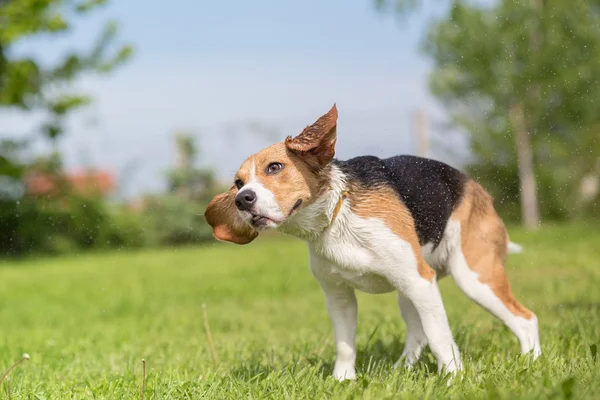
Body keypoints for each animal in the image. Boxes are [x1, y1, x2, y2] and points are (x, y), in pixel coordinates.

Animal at [204, 104, 540, 380]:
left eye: (275, 167)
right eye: (238, 182)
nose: (242, 199)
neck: (337, 217)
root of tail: (476, 188)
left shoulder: (420, 281)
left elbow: (440, 337)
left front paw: (453, 379)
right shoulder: (339, 296)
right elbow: (345, 345)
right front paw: (342, 381)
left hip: (471, 277)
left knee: (525, 319)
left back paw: (531, 363)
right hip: (410, 293)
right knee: (417, 335)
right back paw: (400, 371)